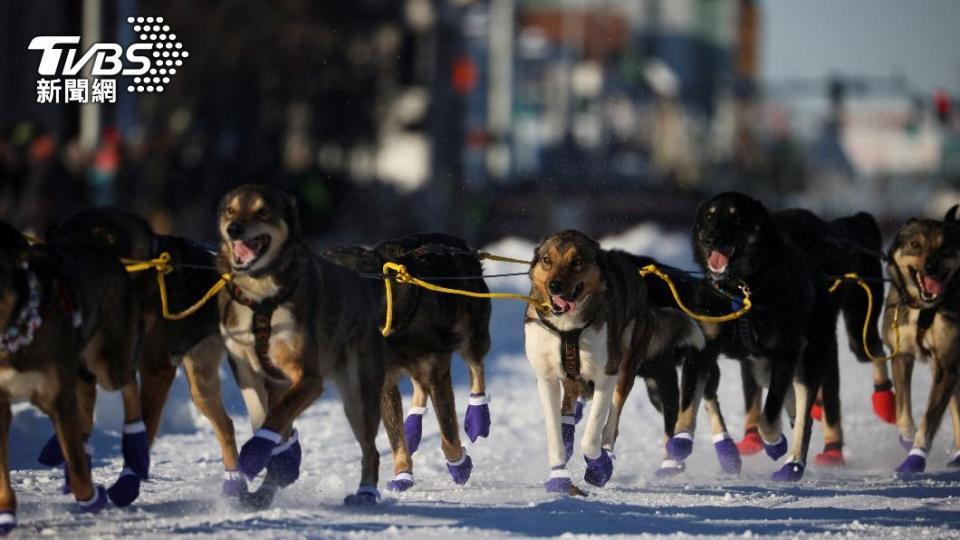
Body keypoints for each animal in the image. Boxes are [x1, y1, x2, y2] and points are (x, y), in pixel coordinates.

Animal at [219, 185, 388, 506]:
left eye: (263, 211)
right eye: (230, 210)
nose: (234, 228)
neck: (261, 299)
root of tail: (363, 286)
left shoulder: (309, 379)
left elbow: (276, 416)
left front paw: (256, 454)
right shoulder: (246, 369)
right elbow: (262, 416)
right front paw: (273, 460)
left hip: (358, 398)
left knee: (370, 450)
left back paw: (365, 492)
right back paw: (267, 487)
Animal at [668, 193, 840, 480]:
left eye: (737, 217)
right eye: (708, 216)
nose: (710, 239)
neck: (739, 291)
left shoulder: (785, 354)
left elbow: (768, 415)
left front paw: (774, 441)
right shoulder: (701, 351)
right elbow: (689, 401)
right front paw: (680, 441)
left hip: (806, 363)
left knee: (801, 416)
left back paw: (792, 464)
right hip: (762, 368)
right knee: (794, 407)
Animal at [884, 205, 960, 474]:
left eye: (944, 246)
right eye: (915, 244)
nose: (930, 267)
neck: (926, 309)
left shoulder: (946, 363)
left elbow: (929, 419)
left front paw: (915, 456)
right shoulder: (901, 354)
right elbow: (902, 410)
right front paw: (907, 437)